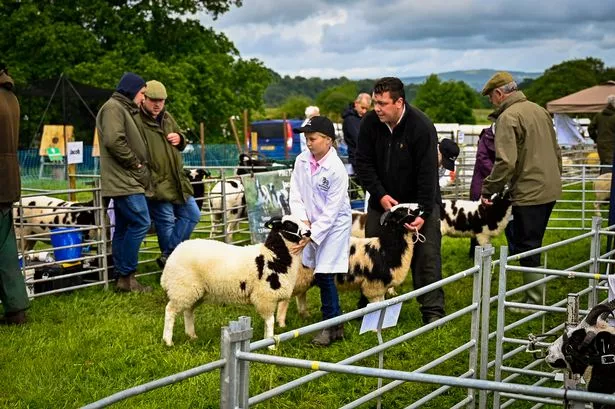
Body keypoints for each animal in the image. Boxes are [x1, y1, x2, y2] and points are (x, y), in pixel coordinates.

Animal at [160, 214, 310, 348]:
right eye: (289, 224)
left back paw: (192, 336)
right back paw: (168, 341)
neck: (273, 255)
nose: (308, 232)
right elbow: (270, 322)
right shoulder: (265, 297)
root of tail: (175, 252)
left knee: (188, 311)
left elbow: (269, 322)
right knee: (170, 311)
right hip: (182, 288)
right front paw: (270, 345)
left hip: (195, 291)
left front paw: (267, 342)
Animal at [276, 204, 422, 328]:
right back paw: (282, 323)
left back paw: (305, 315)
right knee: (286, 298)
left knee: (301, 294)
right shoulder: (373, 286)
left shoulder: (379, 285)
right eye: (401, 211)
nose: (419, 207)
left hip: (304, 277)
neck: (385, 248)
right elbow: (377, 307)